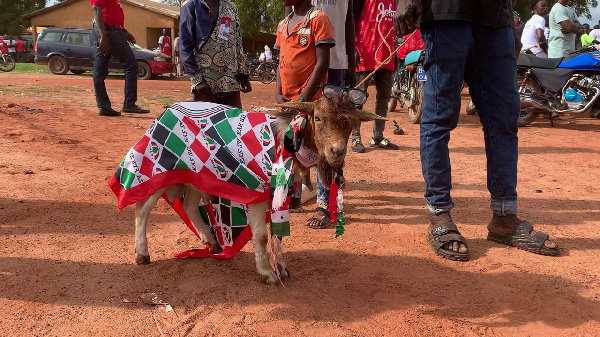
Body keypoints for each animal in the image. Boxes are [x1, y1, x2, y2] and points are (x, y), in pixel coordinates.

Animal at [111, 94, 384, 284]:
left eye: (351, 124)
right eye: (317, 118)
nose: (336, 152)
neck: (287, 140)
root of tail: (165, 112)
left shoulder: (280, 195)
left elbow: (277, 234)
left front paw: (281, 268)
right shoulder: (257, 193)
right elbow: (262, 236)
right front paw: (266, 273)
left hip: (198, 174)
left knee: (189, 205)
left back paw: (212, 243)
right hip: (157, 169)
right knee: (142, 208)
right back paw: (141, 254)